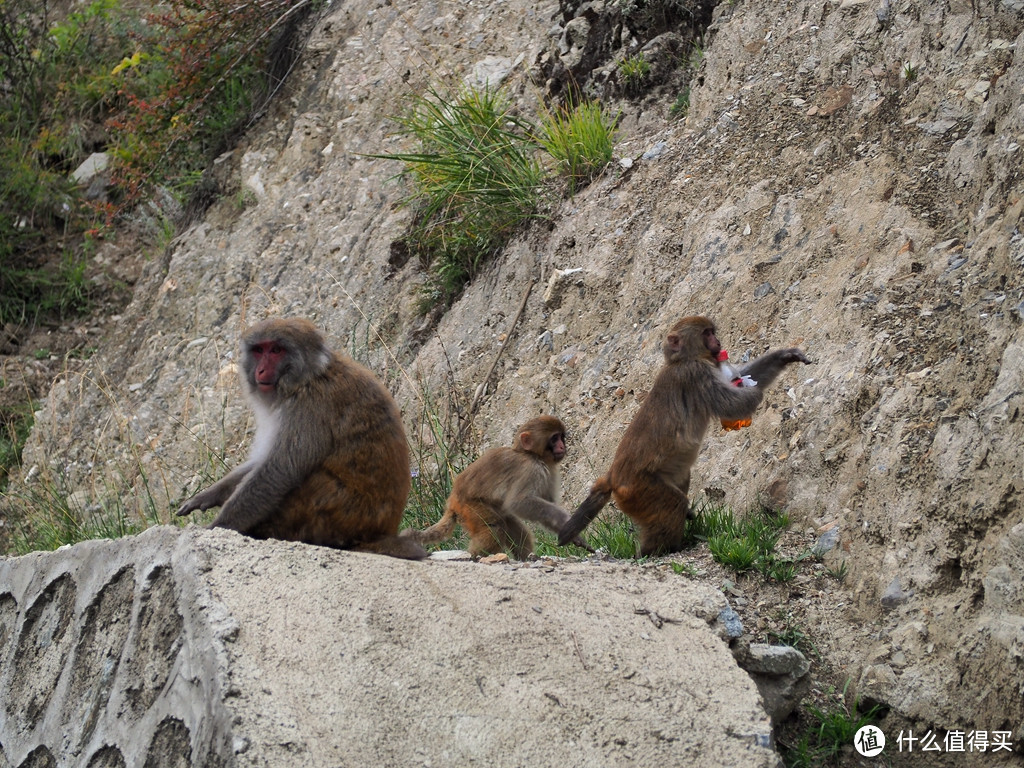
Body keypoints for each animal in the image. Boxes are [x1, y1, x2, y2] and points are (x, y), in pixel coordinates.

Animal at [178, 315, 425, 561]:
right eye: (259, 350)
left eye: (276, 350)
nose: (261, 371)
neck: (309, 377)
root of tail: (382, 532)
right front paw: (208, 496)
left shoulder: (308, 406)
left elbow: (279, 470)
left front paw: (217, 526)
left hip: (344, 517)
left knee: (313, 480)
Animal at [403, 417, 589, 561]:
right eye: (554, 438)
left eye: (561, 437)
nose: (562, 446)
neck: (531, 455)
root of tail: (452, 501)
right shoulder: (529, 469)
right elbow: (519, 503)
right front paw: (564, 521)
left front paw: (570, 530)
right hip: (470, 508)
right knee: (495, 526)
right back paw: (475, 556)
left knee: (512, 524)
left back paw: (525, 557)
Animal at [557, 315, 811, 557]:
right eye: (707, 333)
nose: (718, 343)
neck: (681, 360)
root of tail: (613, 477)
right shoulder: (696, 374)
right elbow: (730, 404)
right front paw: (754, 392)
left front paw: (783, 357)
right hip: (638, 490)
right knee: (673, 504)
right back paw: (654, 550)